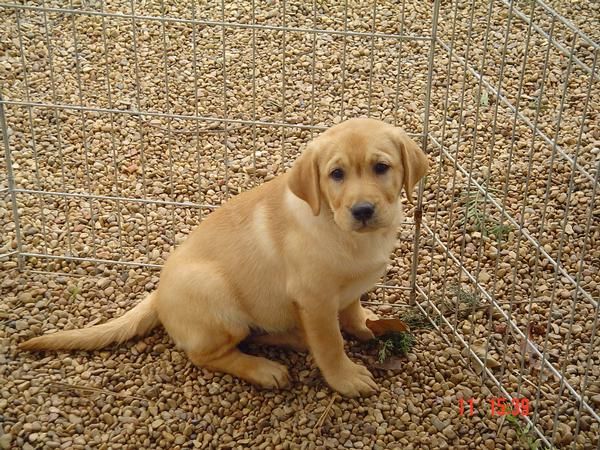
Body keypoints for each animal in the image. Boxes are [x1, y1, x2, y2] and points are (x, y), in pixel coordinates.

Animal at [21, 117, 428, 398]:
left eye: (381, 167)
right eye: (336, 174)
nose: (362, 210)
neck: (343, 231)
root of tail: (158, 294)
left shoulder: (345, 290)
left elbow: (352, 310)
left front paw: (367, 324)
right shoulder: (314, 299)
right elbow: (330, 344)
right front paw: (345, 377)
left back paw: (294, 338)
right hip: (217, 299)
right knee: (206, 355)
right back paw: (265, 369)